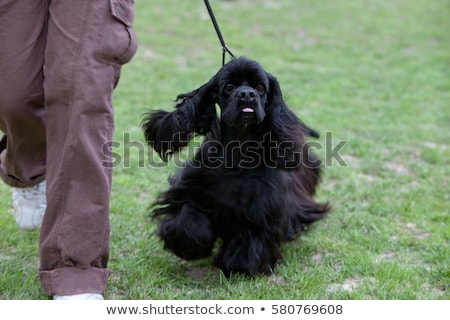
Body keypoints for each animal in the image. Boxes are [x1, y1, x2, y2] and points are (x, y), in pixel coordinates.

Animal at [142, 57, 328, 276]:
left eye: (260, 87)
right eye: (228, 87)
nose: (247, 94)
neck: (239, 145)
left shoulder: (262, 208)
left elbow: (249, 242)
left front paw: (240, 264)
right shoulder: (191, 191)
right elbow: (189, 222)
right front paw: (190, 247)